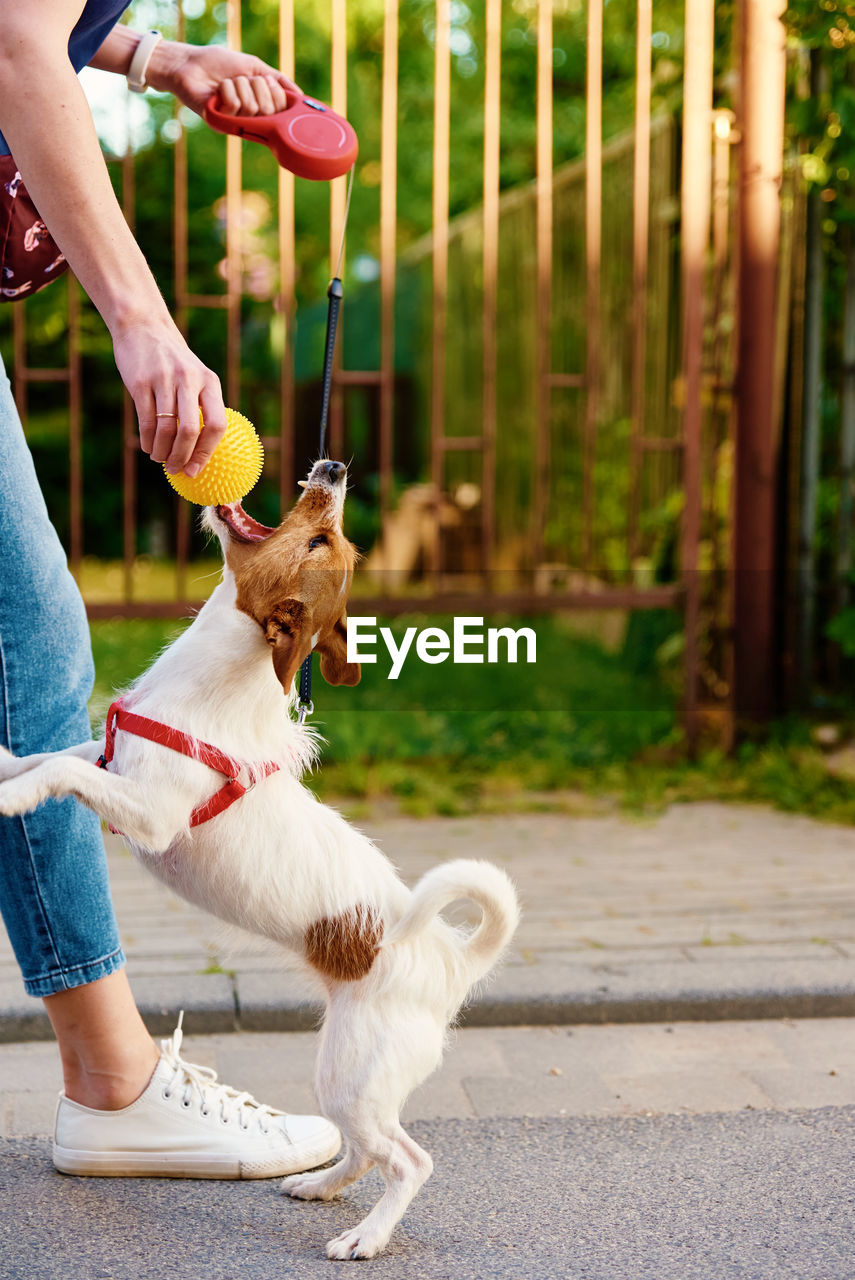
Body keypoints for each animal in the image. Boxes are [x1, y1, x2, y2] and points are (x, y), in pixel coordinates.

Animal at [0, 460, 522, 1259]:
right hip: (346, 1074)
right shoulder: (108, 757)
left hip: (352, 1074)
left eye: (319, 540)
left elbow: (60, 770)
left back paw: (364, 1237)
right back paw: (321, 1185)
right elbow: (54, 753)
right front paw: (4, 766)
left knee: (408, 1159)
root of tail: (453, 958)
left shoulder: (151, 814)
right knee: (365, 1151)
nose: (335, 468)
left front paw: (14, 797)